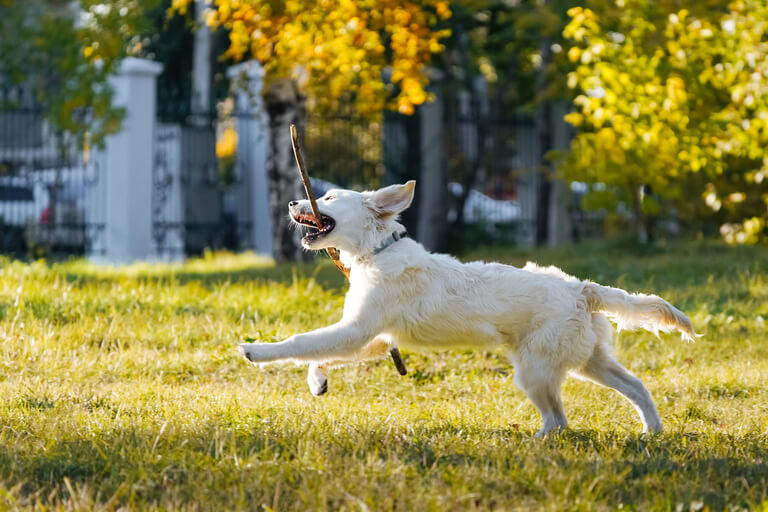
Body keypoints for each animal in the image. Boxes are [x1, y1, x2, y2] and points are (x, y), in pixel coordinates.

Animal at [240, 180, 696, 436]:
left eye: (329, 196)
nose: (291, 204)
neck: (377, 251)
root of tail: (582, 288)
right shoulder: (373, 337)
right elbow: (318, 352)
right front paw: (317, 381)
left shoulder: (357, 330)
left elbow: (301, 341)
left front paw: (256, 350)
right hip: (588, 360)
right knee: (636, 387)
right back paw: (652, 432)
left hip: (536, 370)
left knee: (559, 420)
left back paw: (536, 442)